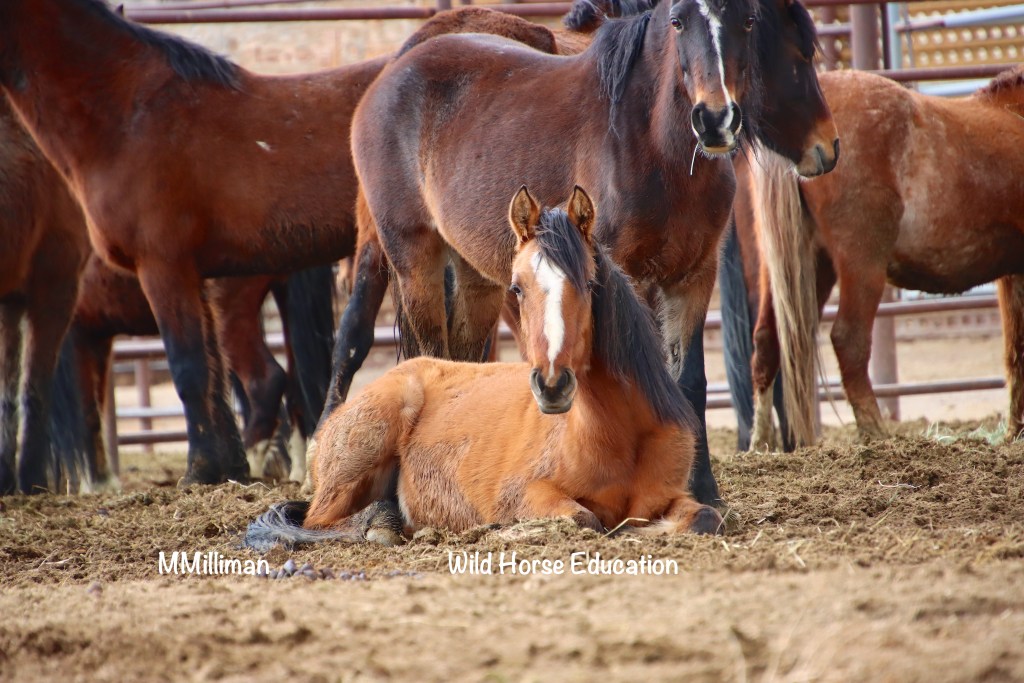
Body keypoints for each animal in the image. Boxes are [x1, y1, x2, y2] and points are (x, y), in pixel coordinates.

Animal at [249, 187, 722, 546]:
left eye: (590, 283)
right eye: (516, 287)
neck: (620, 435)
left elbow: (707, 518)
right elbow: (584, 519)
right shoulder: (527, 492)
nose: (553, 384)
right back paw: (381, 524)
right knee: (320, 522)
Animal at [334, 0, 838, 507]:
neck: (653, 147)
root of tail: (387, 77)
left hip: (475, 273)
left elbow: (689, 381)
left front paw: (704, 492)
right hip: (413, 258)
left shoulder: (694, 277)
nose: (715, 119)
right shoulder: (631, 276)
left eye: (748, 22)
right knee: (428, 352)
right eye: (678, 21)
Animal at [747, 67, 1024, 448]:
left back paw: (760, 445)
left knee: (766, 342)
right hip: (861, 266)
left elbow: (1015, 352)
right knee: (848, 340)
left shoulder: (1013, 274)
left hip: (803, 267)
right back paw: (876, 434)